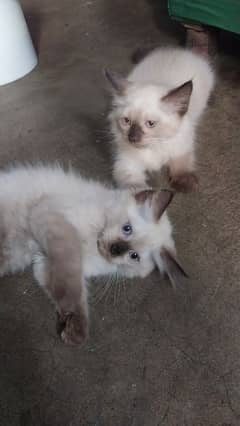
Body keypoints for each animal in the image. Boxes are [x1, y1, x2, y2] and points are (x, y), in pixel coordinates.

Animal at [0, 165, 187, 344]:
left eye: (134, 256)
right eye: (127, 229)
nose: (115, 249)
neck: (91, 247)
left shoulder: (45, 261)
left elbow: (70, 294)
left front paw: (73, 331)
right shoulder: (56, 229)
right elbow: (71, 285)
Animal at [104, 46, 214, 191]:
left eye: (150, 123)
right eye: (126, 121)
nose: (132, 138)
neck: (153, 147)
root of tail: (179, 50)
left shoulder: (182, 148)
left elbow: (182, 163)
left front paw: (184, 183)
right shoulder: (127, 166)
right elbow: (136, 187)